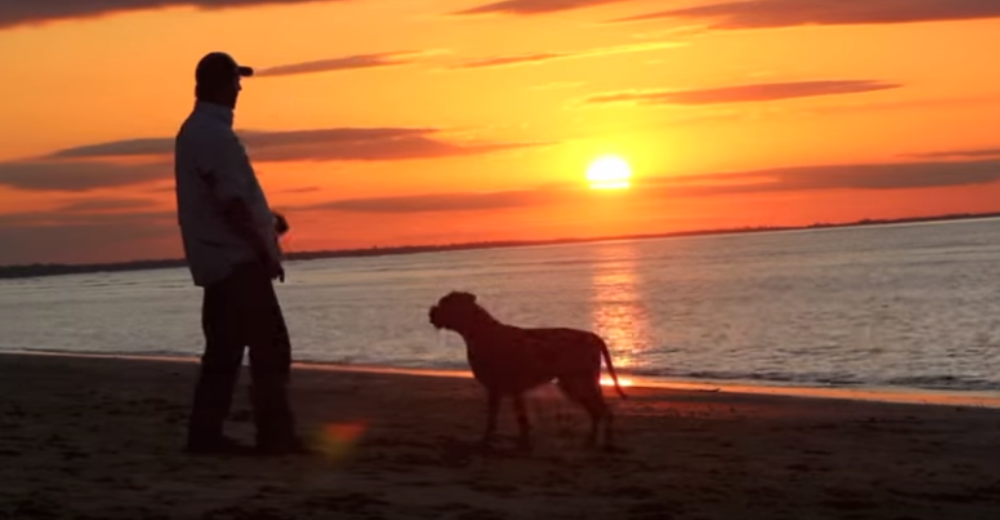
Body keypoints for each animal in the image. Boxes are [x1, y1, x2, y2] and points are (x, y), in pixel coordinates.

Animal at [428, 292, 628, 450]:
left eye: (446, 303)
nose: (431, 313)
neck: (480, 332)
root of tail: (594, 337)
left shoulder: (502, 388)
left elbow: (507, 419)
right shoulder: (501, 390)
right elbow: (508, 419)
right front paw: (513, 442)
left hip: (580, 382)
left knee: (603, 412)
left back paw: (606, 442)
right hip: (574, 384)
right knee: (596, 412)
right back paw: (592, 441)